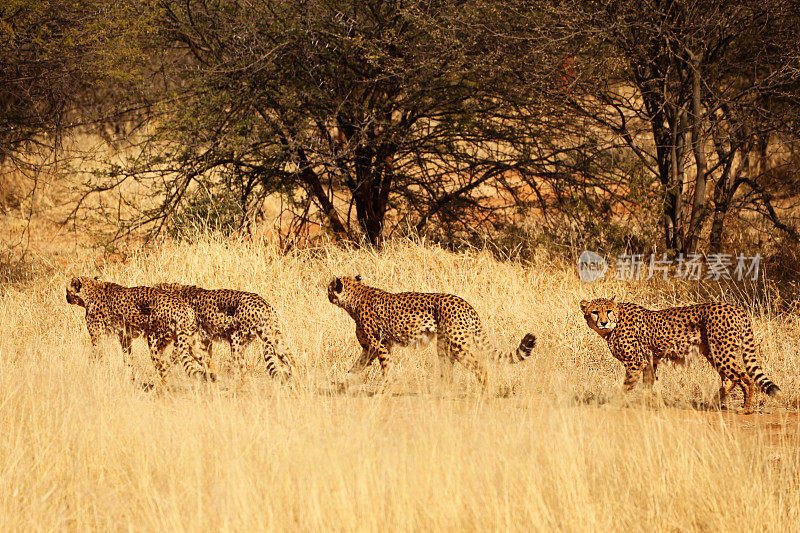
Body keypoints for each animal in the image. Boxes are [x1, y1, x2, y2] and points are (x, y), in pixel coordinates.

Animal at [66, 274, 214, 386]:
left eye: (67, 290)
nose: (66, 298)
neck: (92, 289)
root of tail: (181, 305)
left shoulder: (98, 338)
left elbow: (94, 355)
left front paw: (88, 373)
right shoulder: (125, 337)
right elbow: (127, 358)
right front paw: (128, 377)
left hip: (154, 340)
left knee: (163, 368)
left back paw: (159, 390)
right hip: (189, 340)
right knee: (205, 358)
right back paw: (213, 378)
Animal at [156, 280, 294, 380]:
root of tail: (263, 303)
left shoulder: (187, 339)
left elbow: (172, 359)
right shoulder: (204, 339)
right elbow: (206, 358)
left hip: (236, 338)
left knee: (241, 368)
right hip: (276, 338)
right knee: (291, 359)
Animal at [324, 274, 536, 386]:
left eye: (329, 288)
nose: (326, 294)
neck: (354, 298)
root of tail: (466, 304)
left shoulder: (379, 345)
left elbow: (385, 368)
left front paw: (384, 388)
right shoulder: (372, 347)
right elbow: (358, 365)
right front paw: (345, 381)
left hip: (457, 344)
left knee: (480, 367)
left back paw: (484, 393)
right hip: (444, 344)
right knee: (448, 371)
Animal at [580, 296, 780, 412]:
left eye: (608, 311)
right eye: (595, 312)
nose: (603, 323)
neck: (616, 322)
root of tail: (737, 309)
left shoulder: (635, 362)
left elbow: (626, 385)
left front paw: (612, 403)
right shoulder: (648, 361)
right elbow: (648, 385)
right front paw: (650, 404)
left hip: (722, 351)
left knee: (745, 378)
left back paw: (746, 408)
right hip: (714, 352)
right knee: (730, 379)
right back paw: (713, 403)